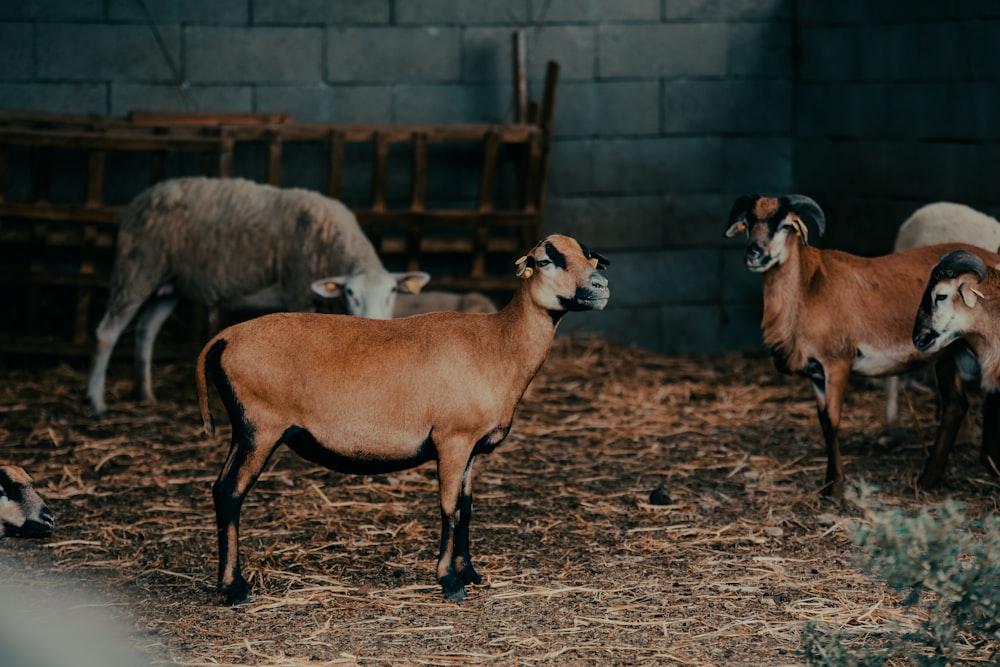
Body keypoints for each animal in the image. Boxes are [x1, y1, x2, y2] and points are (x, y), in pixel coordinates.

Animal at [87, 177, 430, 418]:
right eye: (350, 293)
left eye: (392, 292)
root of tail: (135, 203)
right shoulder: (298, 291)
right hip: (137, 267)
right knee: (107, 332)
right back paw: (96, 402)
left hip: (170, 283)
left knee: (146, 330)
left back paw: (144, 394)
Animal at [191, 235, 604, 604]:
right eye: (546, 260)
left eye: (591, 257)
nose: (600, 286)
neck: (498, 343)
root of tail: (224, 338)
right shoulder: (452, 439)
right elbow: (450, 508)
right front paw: (450, 582)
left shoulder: (471, 448)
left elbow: (467, 508)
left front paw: (470, 572)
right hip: (261, 427)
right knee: (230, 493)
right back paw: (233, 589)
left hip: (243, 431)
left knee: (218, 488)